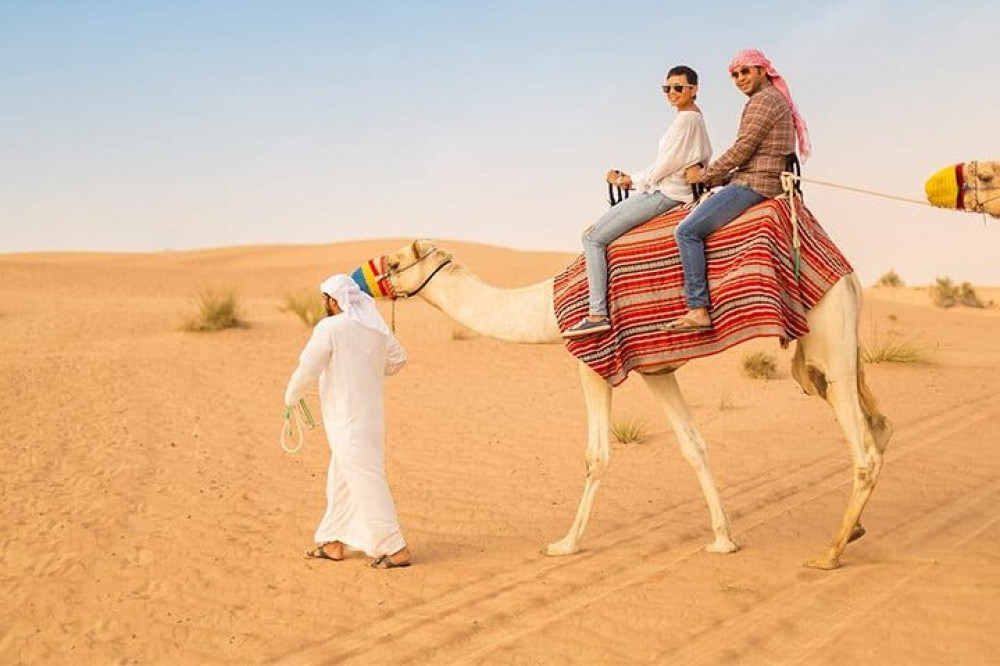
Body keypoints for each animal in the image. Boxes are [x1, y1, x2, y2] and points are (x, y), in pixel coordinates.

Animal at [370, 239, 892, 564]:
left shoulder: (592, 362)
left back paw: (830, 553)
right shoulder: (655, 369)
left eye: (394, 265)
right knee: (880, 423)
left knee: (863, 445)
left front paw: (565, 543)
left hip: (828, 339)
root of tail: (849, 276)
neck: (547, 309)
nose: (366, 276)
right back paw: (856, 530)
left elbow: (597, 456)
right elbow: (693, 445)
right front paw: (723, 539)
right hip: (832, 351)